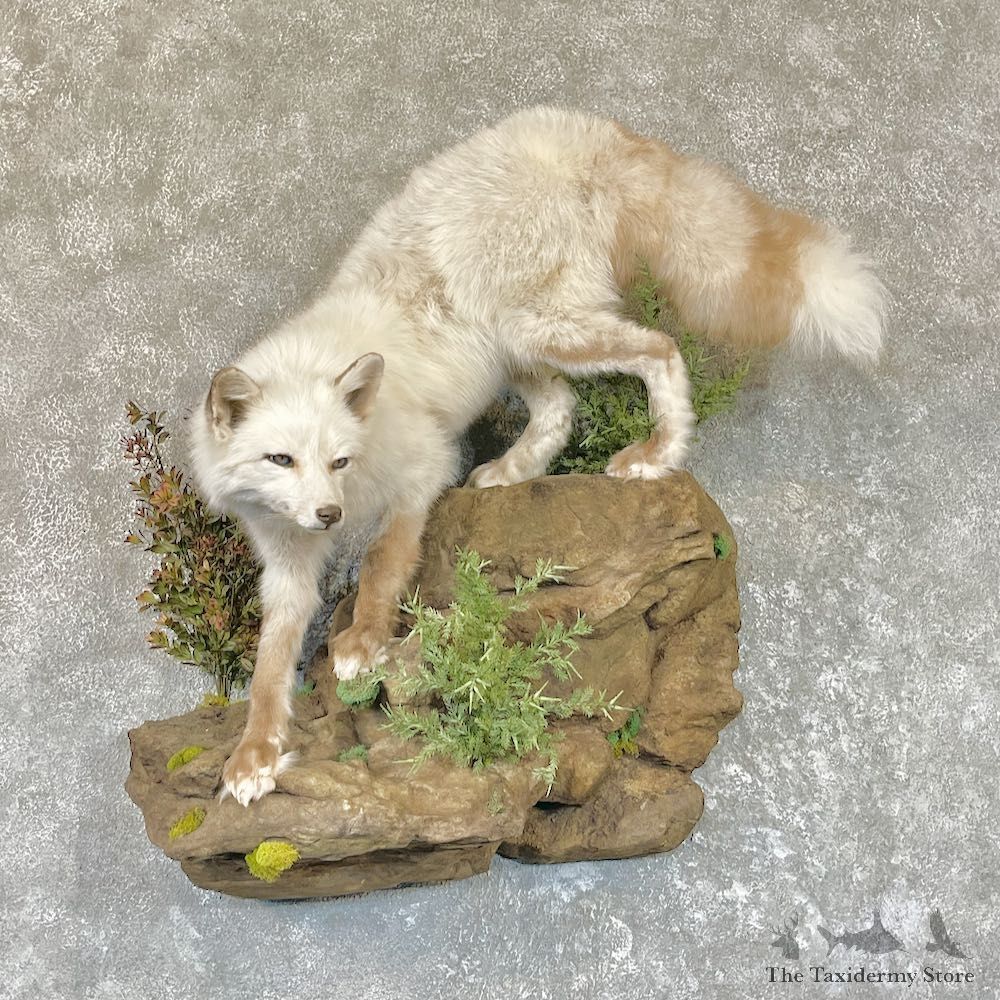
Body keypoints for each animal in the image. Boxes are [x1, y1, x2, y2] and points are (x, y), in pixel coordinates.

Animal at [189, 106, 885, 806]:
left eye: (340, 461)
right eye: (280, 460)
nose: (329, 516)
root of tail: (574, 126)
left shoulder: (424, 467)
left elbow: (385, 560)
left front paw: (363, 641)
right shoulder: (287, 559)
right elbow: (269, 668)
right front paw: (254, 757)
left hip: (539, 328)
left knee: (659, 348)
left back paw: (657, 453)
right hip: (517, 346)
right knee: (561, 408)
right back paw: (512, 473)